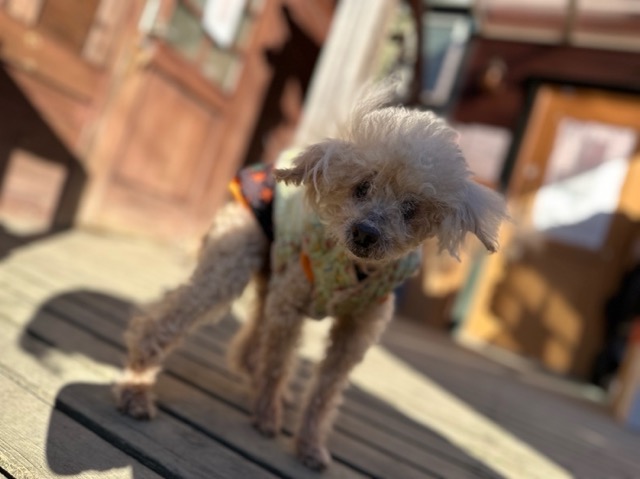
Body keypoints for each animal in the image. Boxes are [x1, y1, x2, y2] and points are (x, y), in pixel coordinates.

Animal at [114, 83, 507, 470]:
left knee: (252, 335)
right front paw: (267, 419)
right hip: (235, 257)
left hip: (271, 269)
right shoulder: (290, 303)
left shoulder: (357, 328)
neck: (353, 267)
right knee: (163, 322)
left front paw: (310, 445)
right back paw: (137, 390)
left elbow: (325, 391)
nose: (365, 232)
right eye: (361, 187)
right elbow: (277, 363)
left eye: (411, 208)